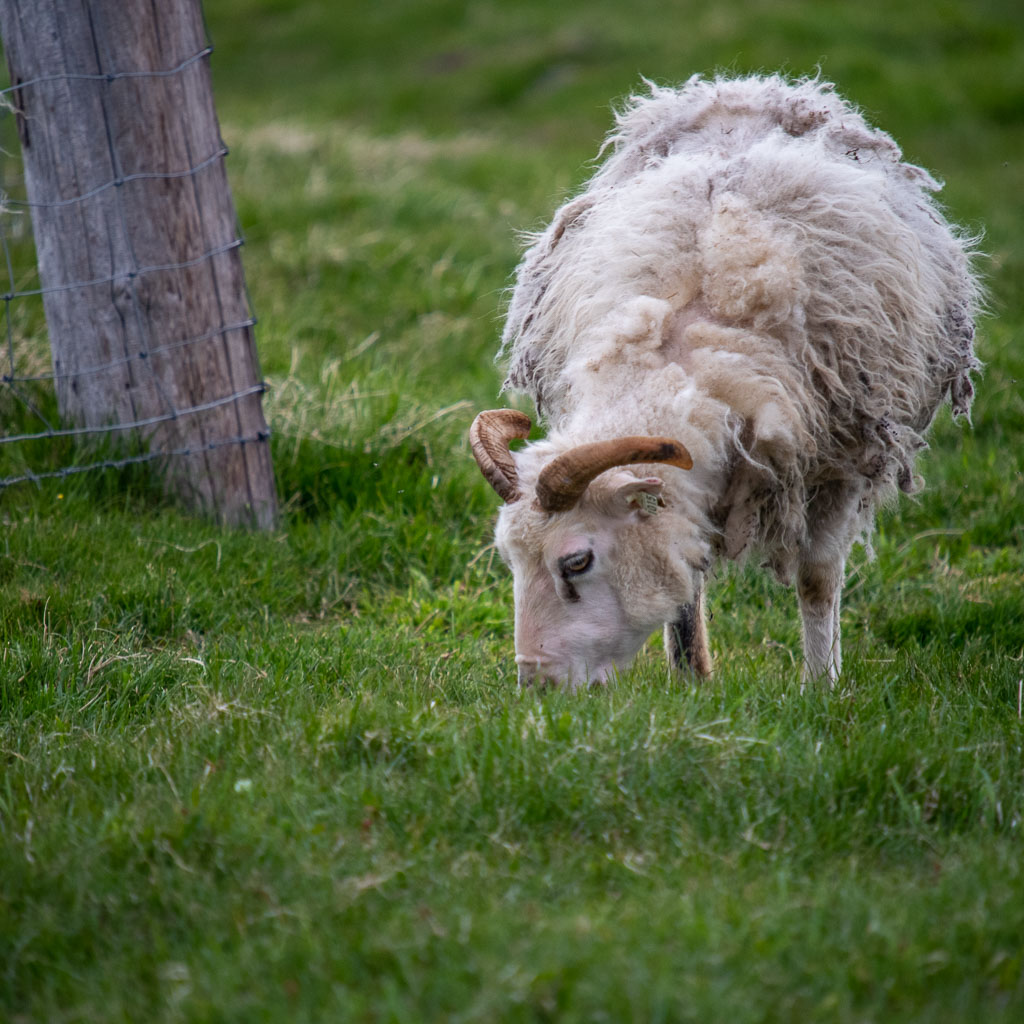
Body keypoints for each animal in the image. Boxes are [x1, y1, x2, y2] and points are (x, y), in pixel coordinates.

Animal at [471, 74, 983, 688]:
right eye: (510, 560)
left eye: (577, 561)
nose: (537, 685)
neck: (684, 353)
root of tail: (747, 85)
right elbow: (685, 577)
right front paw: (691, 680)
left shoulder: (841, 460)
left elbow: (817, 578)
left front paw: (822, 687)